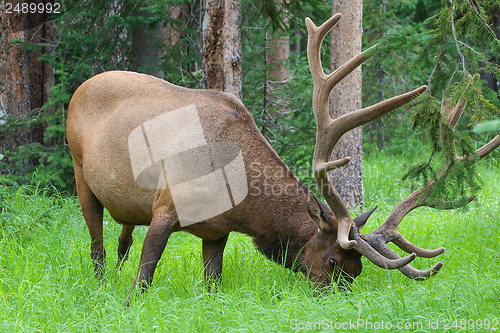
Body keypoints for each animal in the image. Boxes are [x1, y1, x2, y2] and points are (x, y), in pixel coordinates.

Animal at [67, 14, 500, 296]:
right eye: (333, 262)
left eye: (358, 272)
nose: (335, 300)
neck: (236, 198)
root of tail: (81, 86)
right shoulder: (165, 208)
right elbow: (143, 281)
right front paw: (128, 304)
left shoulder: (216, 231)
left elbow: (212, 285)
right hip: (80, 172)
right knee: (97, 245)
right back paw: (100, 286)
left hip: (126, 205)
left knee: (121, 240)